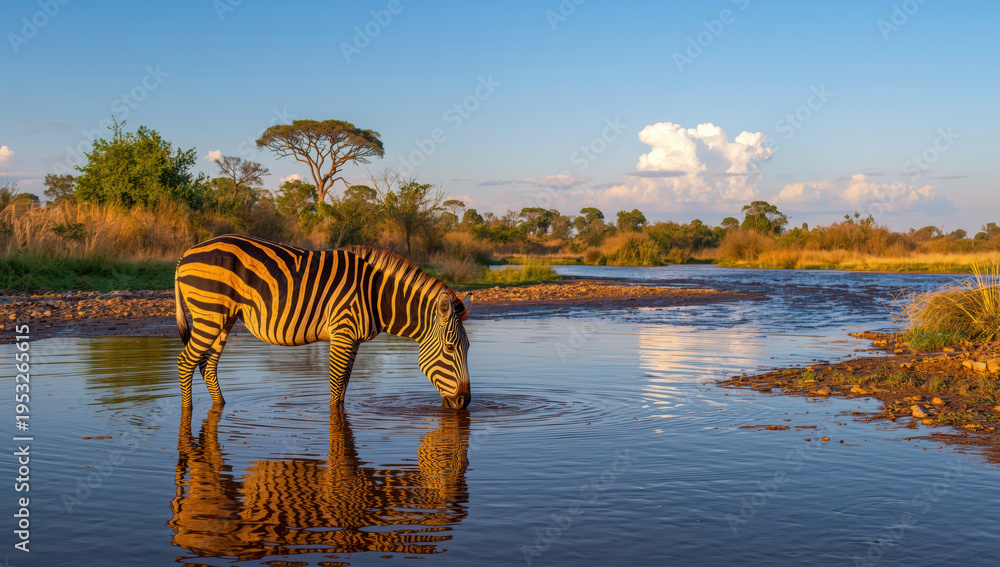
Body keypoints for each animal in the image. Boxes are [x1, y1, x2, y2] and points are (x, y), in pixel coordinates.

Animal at [174, 234, 471, 409]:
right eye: (450, 349)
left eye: (467, 349)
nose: (465, 402)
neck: (376, 294)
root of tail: (187, 253)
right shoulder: (343, 331)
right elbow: (336, 384)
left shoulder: (354, 340)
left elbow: (344, 386)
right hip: (209, 314)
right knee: (186, 361)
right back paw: (187, 411)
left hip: (224, 319)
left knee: (207, 365)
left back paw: (220, 407)